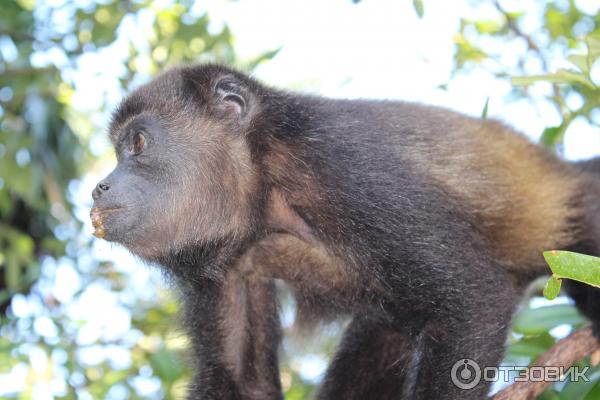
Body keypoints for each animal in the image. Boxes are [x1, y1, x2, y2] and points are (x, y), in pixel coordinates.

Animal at [90, 64, 600, 398]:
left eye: (138, 142)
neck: (265, 187)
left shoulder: (345, 168)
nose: (99, 186)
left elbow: (473, 299)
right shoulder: (222, 262)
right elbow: (240, 381)